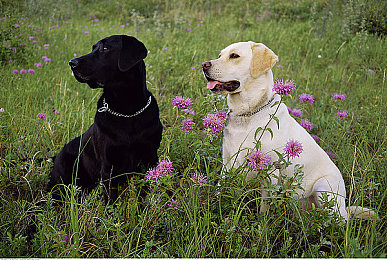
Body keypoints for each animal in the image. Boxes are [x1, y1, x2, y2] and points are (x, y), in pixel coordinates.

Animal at [47, 34, 163, 202]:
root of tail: (56, 156)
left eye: (106, 48)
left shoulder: (150, 157)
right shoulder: (108, 167)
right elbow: (111, 200)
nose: (72, 63)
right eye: (93, 48)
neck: (127, 111)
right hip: (62, 181)